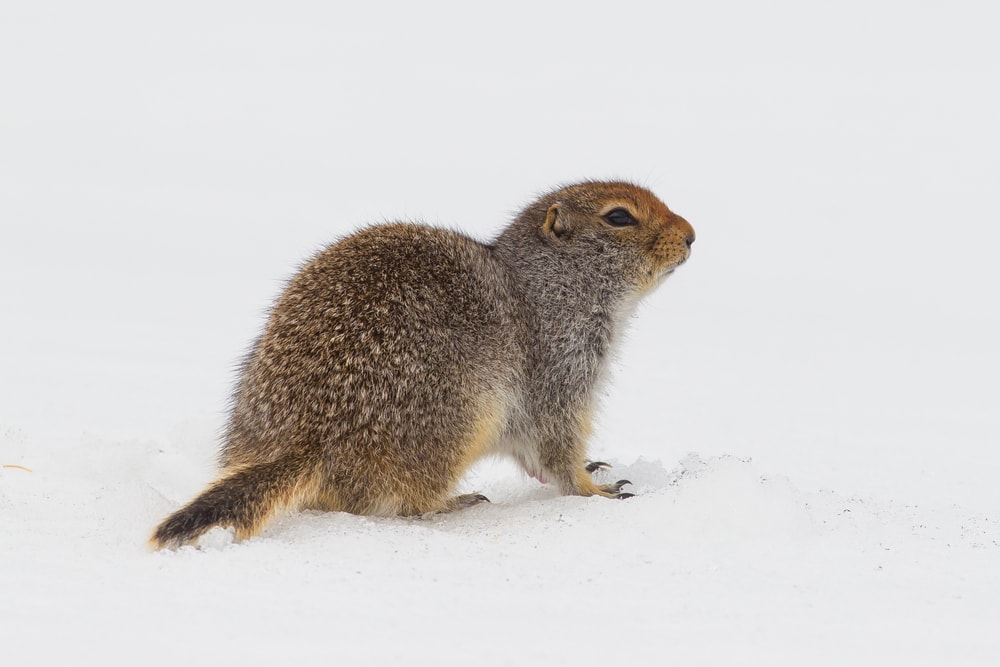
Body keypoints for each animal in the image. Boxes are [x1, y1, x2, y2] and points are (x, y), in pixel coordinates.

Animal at [150, 181, 695, 549]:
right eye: (619, 217)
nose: (691, 234)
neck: (545, 286)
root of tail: (310, 440)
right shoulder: (562, 366)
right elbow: (555, 443)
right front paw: (597, 489)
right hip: (454, 422)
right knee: (400, 504)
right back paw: (455, 501)